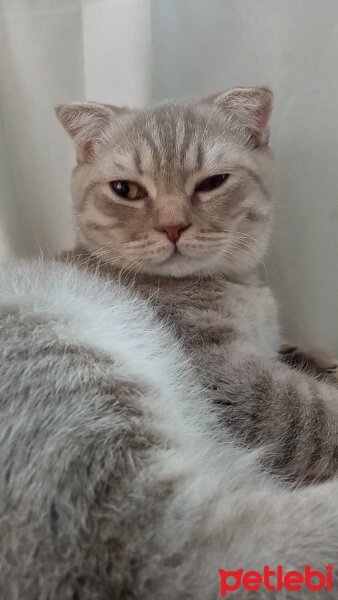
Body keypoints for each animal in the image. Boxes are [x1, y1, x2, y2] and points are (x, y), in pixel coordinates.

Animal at [55, 86, 338, 486]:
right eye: (126, 190)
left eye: (212, 183)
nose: (172, 226)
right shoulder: (226, 379)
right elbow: (315, 414)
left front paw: (319, 359)